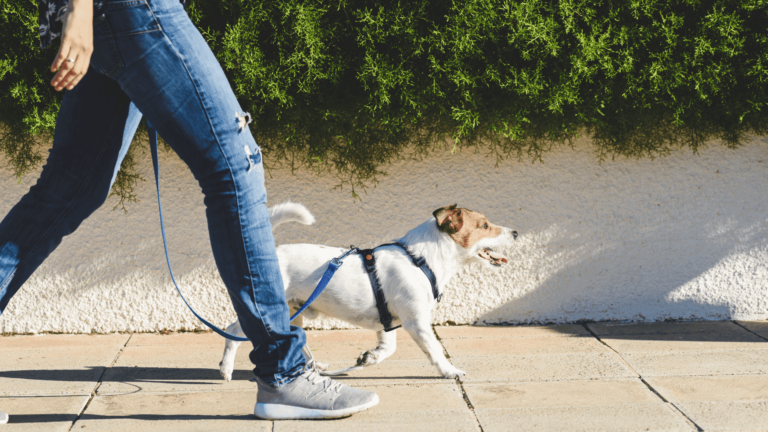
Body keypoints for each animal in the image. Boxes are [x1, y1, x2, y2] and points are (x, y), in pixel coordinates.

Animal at [218, 202, 516, 378]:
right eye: (484, 225)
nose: (515, 232)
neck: (420, 259)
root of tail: (271, 254)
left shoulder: (388, 322)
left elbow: (387, 349)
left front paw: (369, 358)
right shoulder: (417, 322)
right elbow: (435, 350)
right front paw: (449, 370)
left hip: (294, 312)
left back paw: (315, 367)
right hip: (269, 310)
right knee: (233, 331)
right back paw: (226, 369)